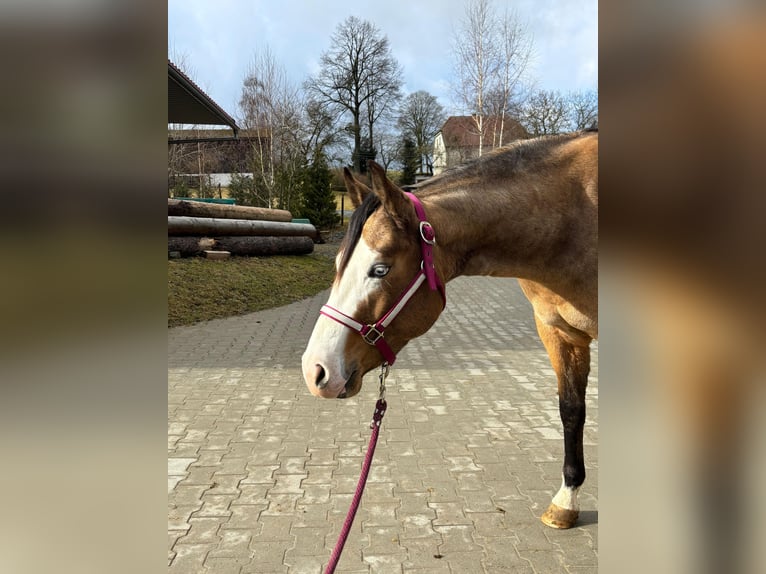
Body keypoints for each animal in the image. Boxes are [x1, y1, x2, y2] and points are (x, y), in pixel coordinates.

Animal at [301, 130, 598, 530]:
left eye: (380, 269)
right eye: (337, 263)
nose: (315, 370)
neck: (572, 219)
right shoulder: (559, 332)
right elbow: (572, 409)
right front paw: (566, 501)